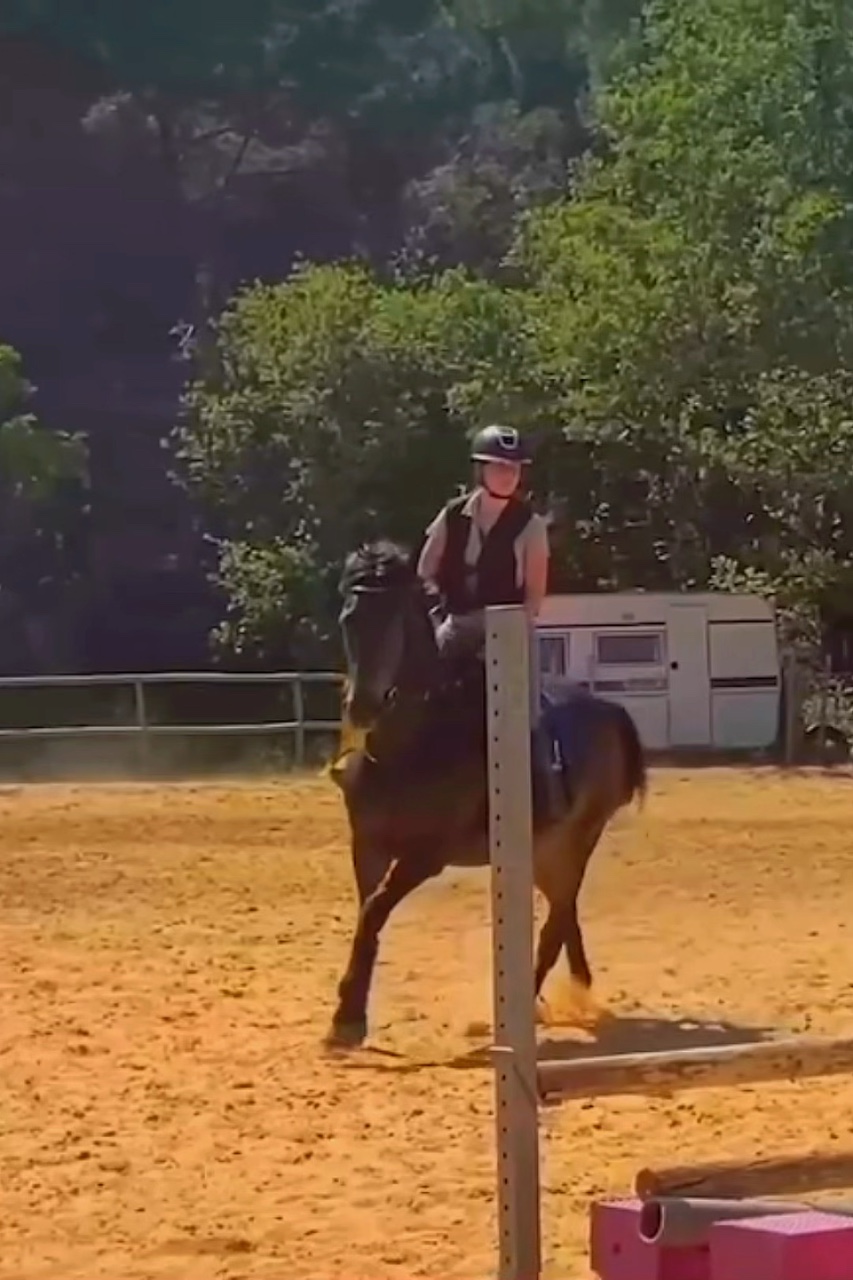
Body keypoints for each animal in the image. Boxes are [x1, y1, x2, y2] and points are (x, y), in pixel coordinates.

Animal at [325, 538, 647, 1049]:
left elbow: (375, 910)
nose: (363, 705)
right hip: (540, 852)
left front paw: (347, 1018)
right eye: (349, 619)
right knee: (564, 913)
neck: (412, 743)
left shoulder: (426, 856)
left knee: (556, 920)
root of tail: (610, 711)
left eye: (395, 620)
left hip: (575, 842)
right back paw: (576, 989)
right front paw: (349, 1011)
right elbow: (366, 917)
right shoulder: (368, 846)